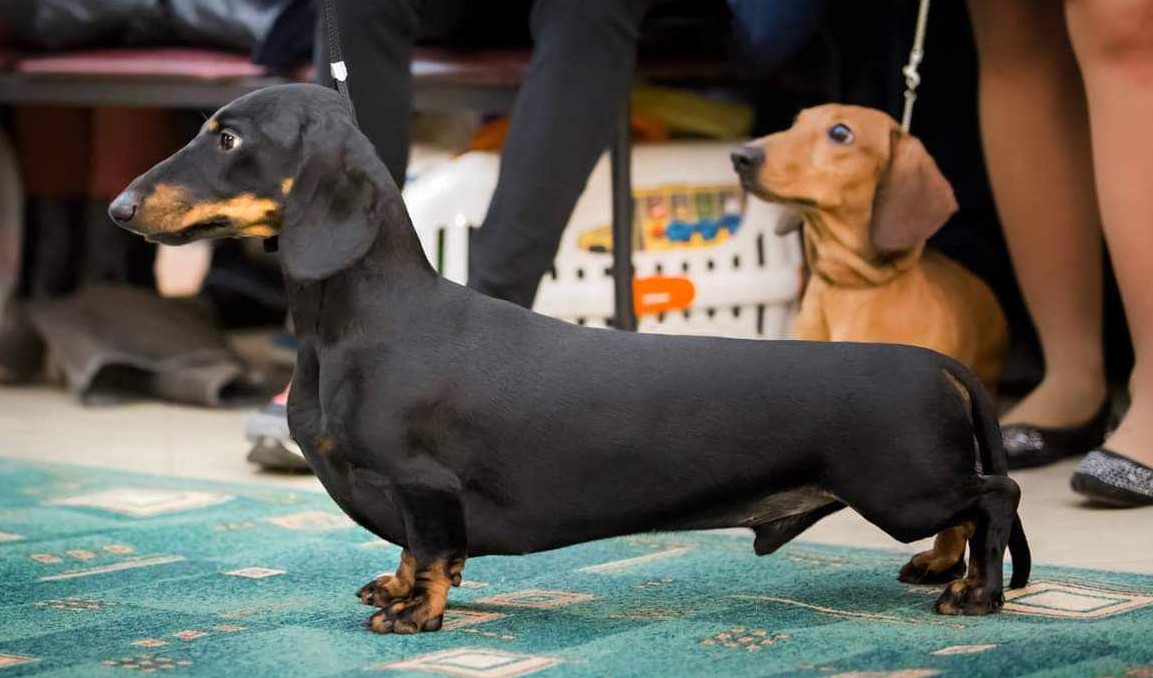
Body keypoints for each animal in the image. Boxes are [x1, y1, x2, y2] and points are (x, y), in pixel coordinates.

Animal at [111, 84, 1029, 635]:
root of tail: (930, 360)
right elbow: (411, 551)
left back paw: (973, 591)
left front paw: (415, 615)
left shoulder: (421, 483)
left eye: (227, 137)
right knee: (968, 508)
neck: (355, 322)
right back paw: (938, 567)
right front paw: (396, 589)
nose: (117, 208)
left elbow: (430, 549)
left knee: (995, 495)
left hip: (897, 484)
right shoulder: (406, 495)